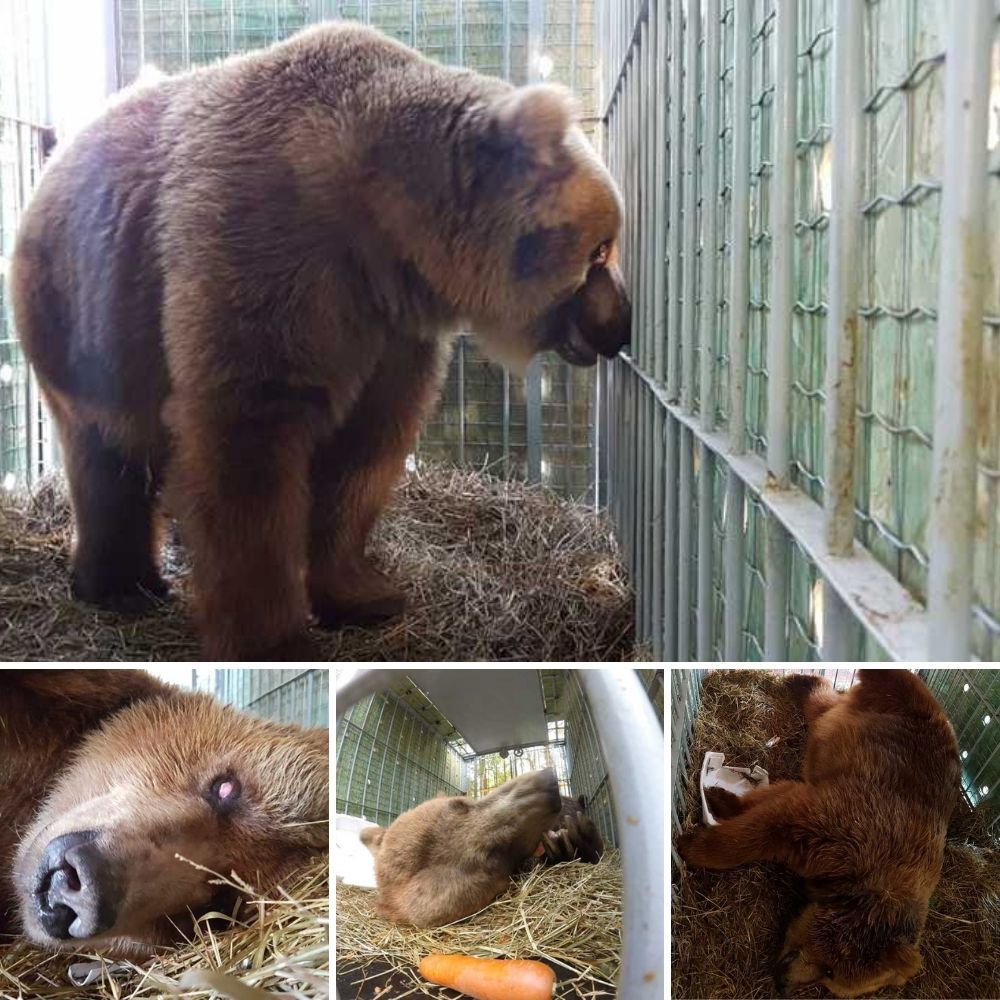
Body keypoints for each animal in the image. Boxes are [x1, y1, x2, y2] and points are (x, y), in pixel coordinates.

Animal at [7, 19, 628, 660]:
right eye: (599, 250)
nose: (619, 327)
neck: (382, 228)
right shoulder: (268, 246)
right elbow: (247, 437)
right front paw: (271, 634)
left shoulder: (386, 331)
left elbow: (362, 451)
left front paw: (364, 595)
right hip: (83, 318)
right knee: (105, 454)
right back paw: (119, 586)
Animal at [676, 672, 956, 1000]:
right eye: (830, 969)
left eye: (830, 980)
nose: (783, 982)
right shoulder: (846, 825)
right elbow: (762, 828)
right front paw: (693, 841)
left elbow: (778, 797)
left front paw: (723, 800)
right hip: (885, 705)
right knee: (830, 702)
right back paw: (801, 679)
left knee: (825, 707)